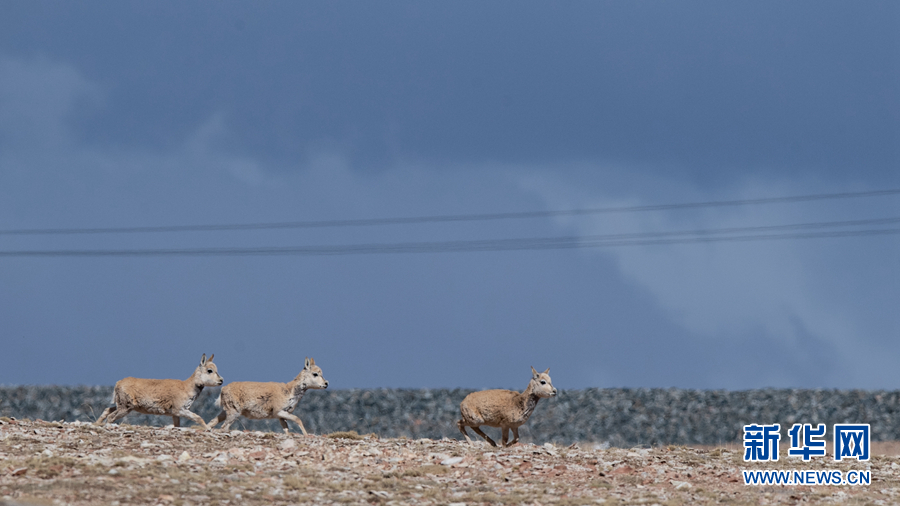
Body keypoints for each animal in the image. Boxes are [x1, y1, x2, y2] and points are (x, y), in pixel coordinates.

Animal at [95, 353, 223, 429]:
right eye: (210, 370)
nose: (221, 380)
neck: (187, 387)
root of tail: (118, 383)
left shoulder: (175, 414)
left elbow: (177, 425)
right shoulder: (179, 410)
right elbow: (198, 417)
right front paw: (208, 428)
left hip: (122, 405)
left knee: (107, 410)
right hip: (125, 408)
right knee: (110, 416)